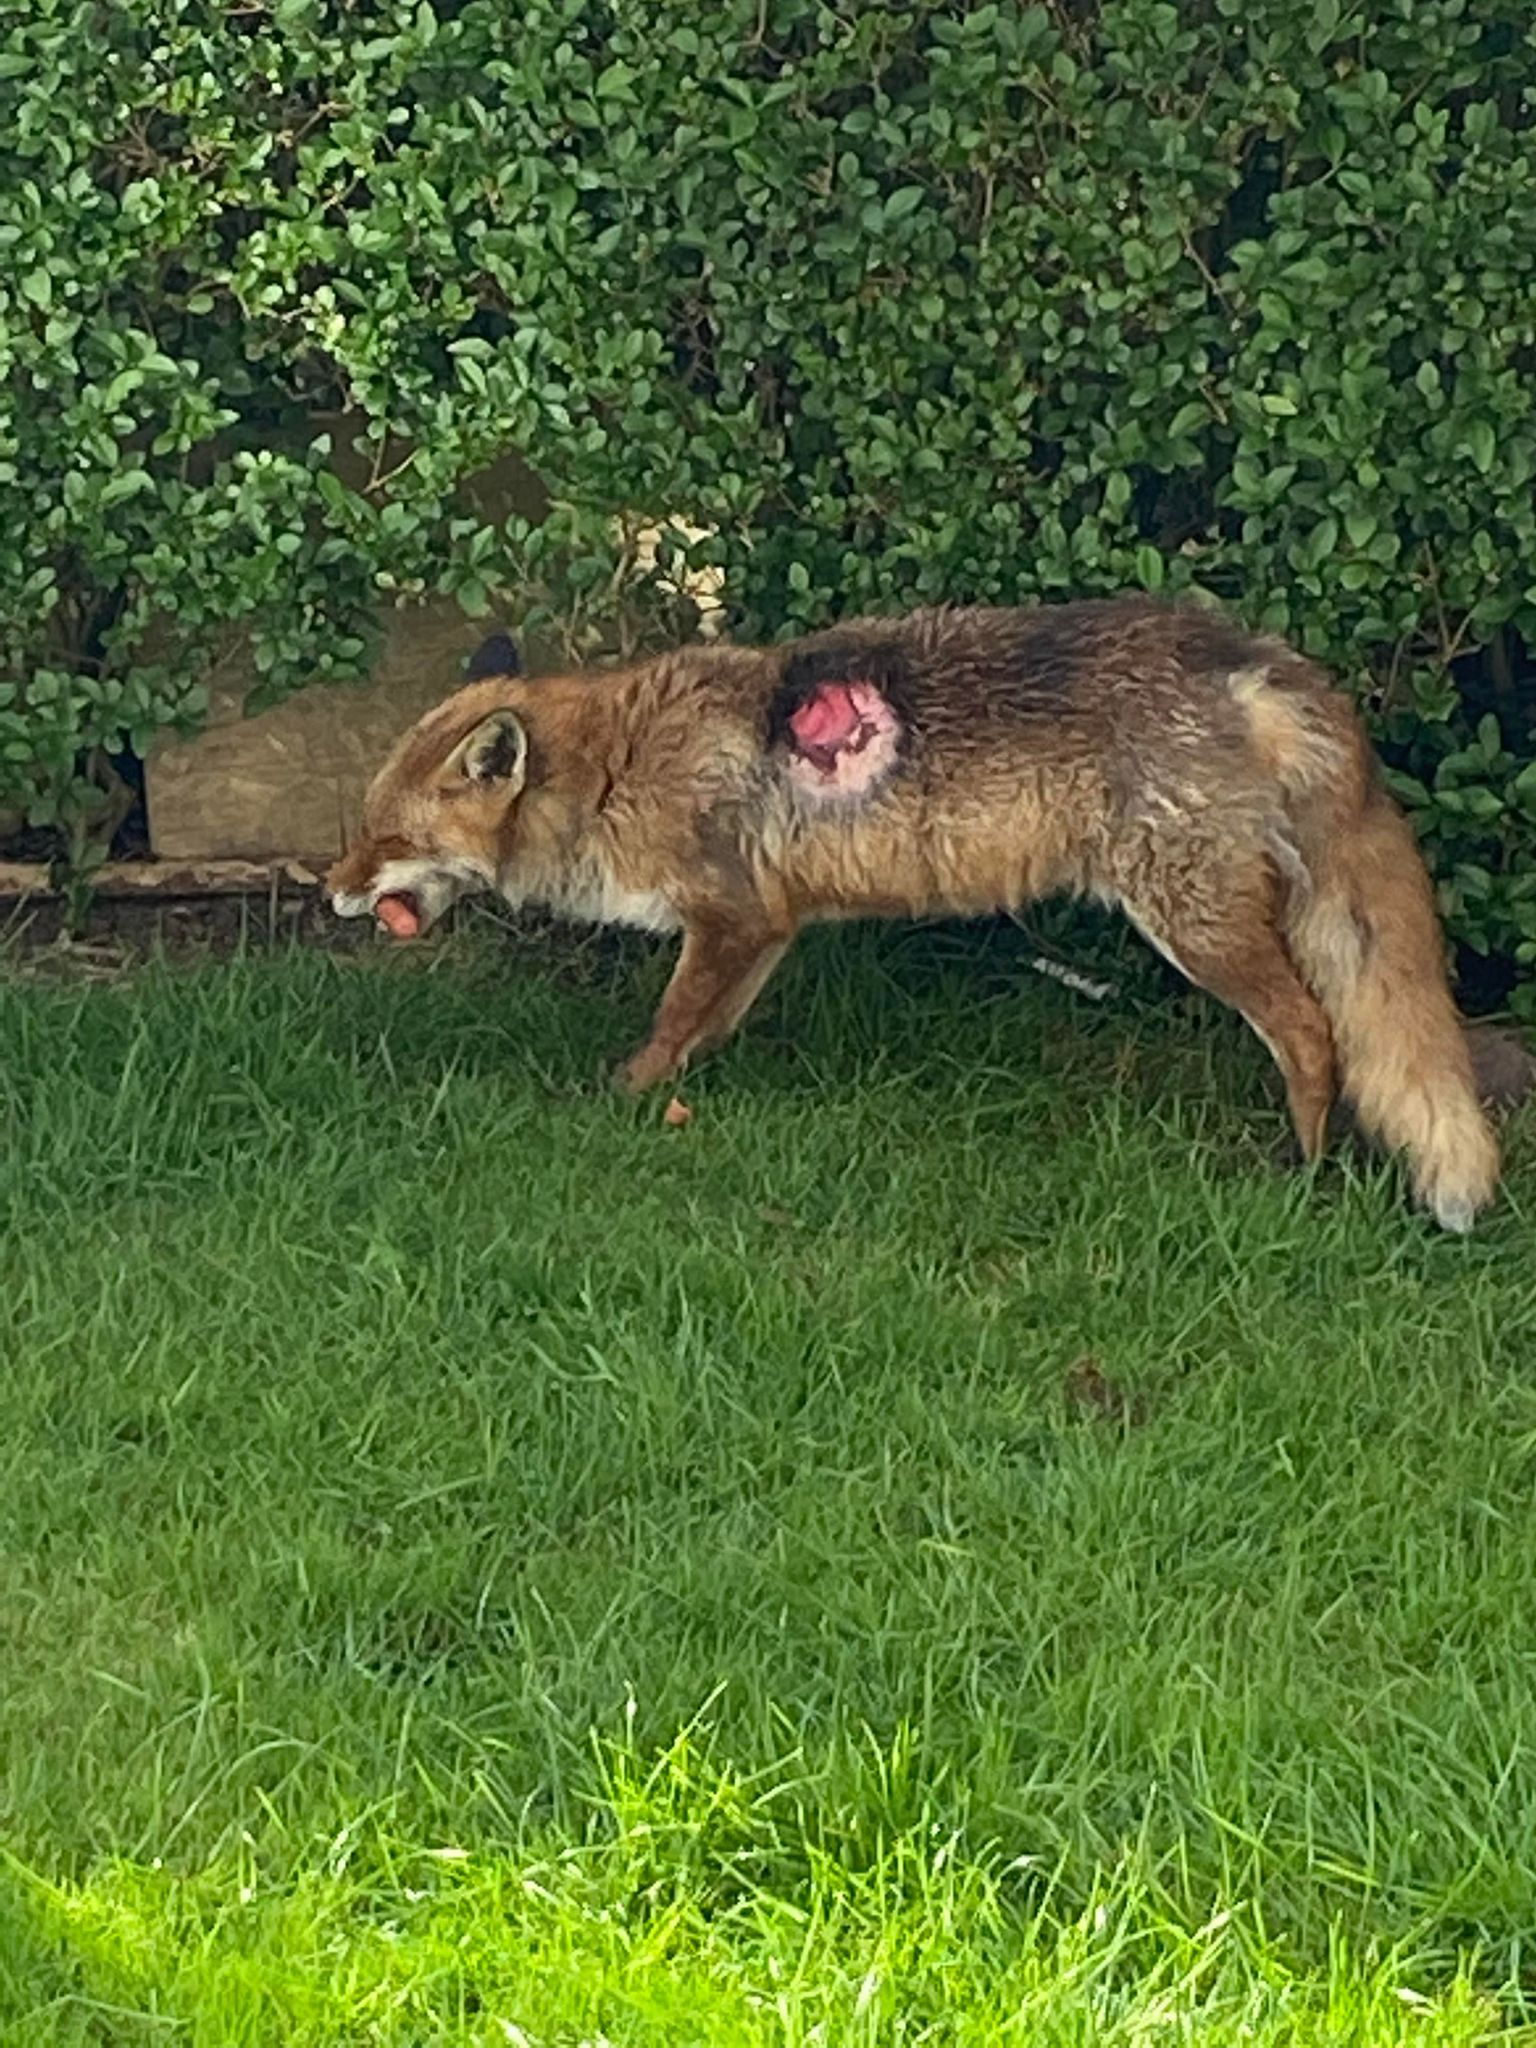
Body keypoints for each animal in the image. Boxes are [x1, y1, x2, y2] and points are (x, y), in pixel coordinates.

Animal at [327, 593, 1531, 1228]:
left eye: (386, 840)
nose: (329, 892)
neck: (616, 765)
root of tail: (1252, 655)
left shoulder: (730, 915)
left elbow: (667, 1028)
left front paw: (616, 1101)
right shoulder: (769, 925)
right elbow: (706, 1031)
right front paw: (673, 1101)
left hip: (1193, 924)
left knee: (1316, 1033)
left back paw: (1304, 1168)